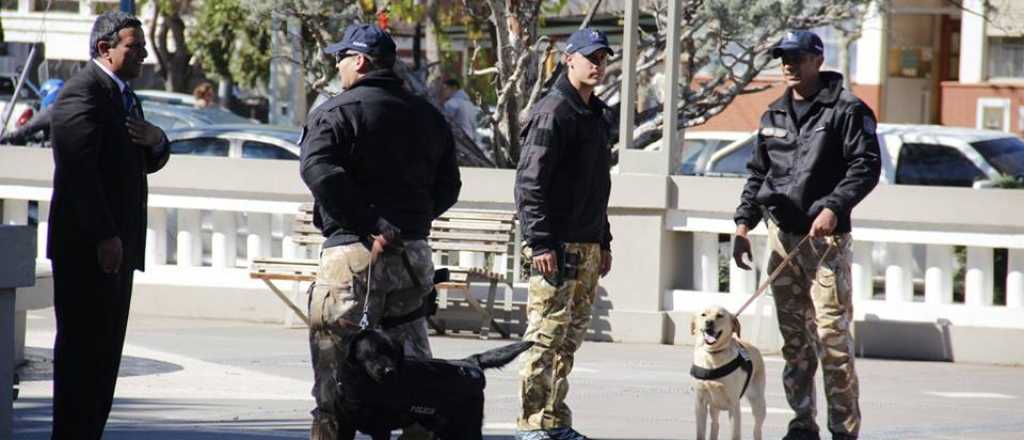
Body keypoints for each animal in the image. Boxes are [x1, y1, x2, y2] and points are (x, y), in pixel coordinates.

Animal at [339, 327, 536, 437]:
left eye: (394, 354)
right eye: (374, 351)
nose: (389, 372)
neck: (362, 386)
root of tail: (470, 362)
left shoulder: (381, 428)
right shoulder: (344, 426)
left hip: (465, 426)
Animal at [692, 304, 765, 440]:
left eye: (720, 315)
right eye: (703, 314)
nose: (709, 322)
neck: (714, 356)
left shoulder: (734, 405)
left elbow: (735, 434)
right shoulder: (700, 403)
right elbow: (700, 433)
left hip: (758, 403)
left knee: (757, 429)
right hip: (714, 406)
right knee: (715, 424)